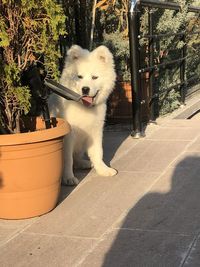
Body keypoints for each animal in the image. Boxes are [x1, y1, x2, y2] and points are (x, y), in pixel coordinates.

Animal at [49, 44, 117, 186]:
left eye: (94, 77)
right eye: (79, 77)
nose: (85, 89)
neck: (83, 107)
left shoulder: (96, 130)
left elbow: (98, 152)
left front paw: (103, 170)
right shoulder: (68, 136)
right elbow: (67, 158)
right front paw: (68, 178)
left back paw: (85, 163)